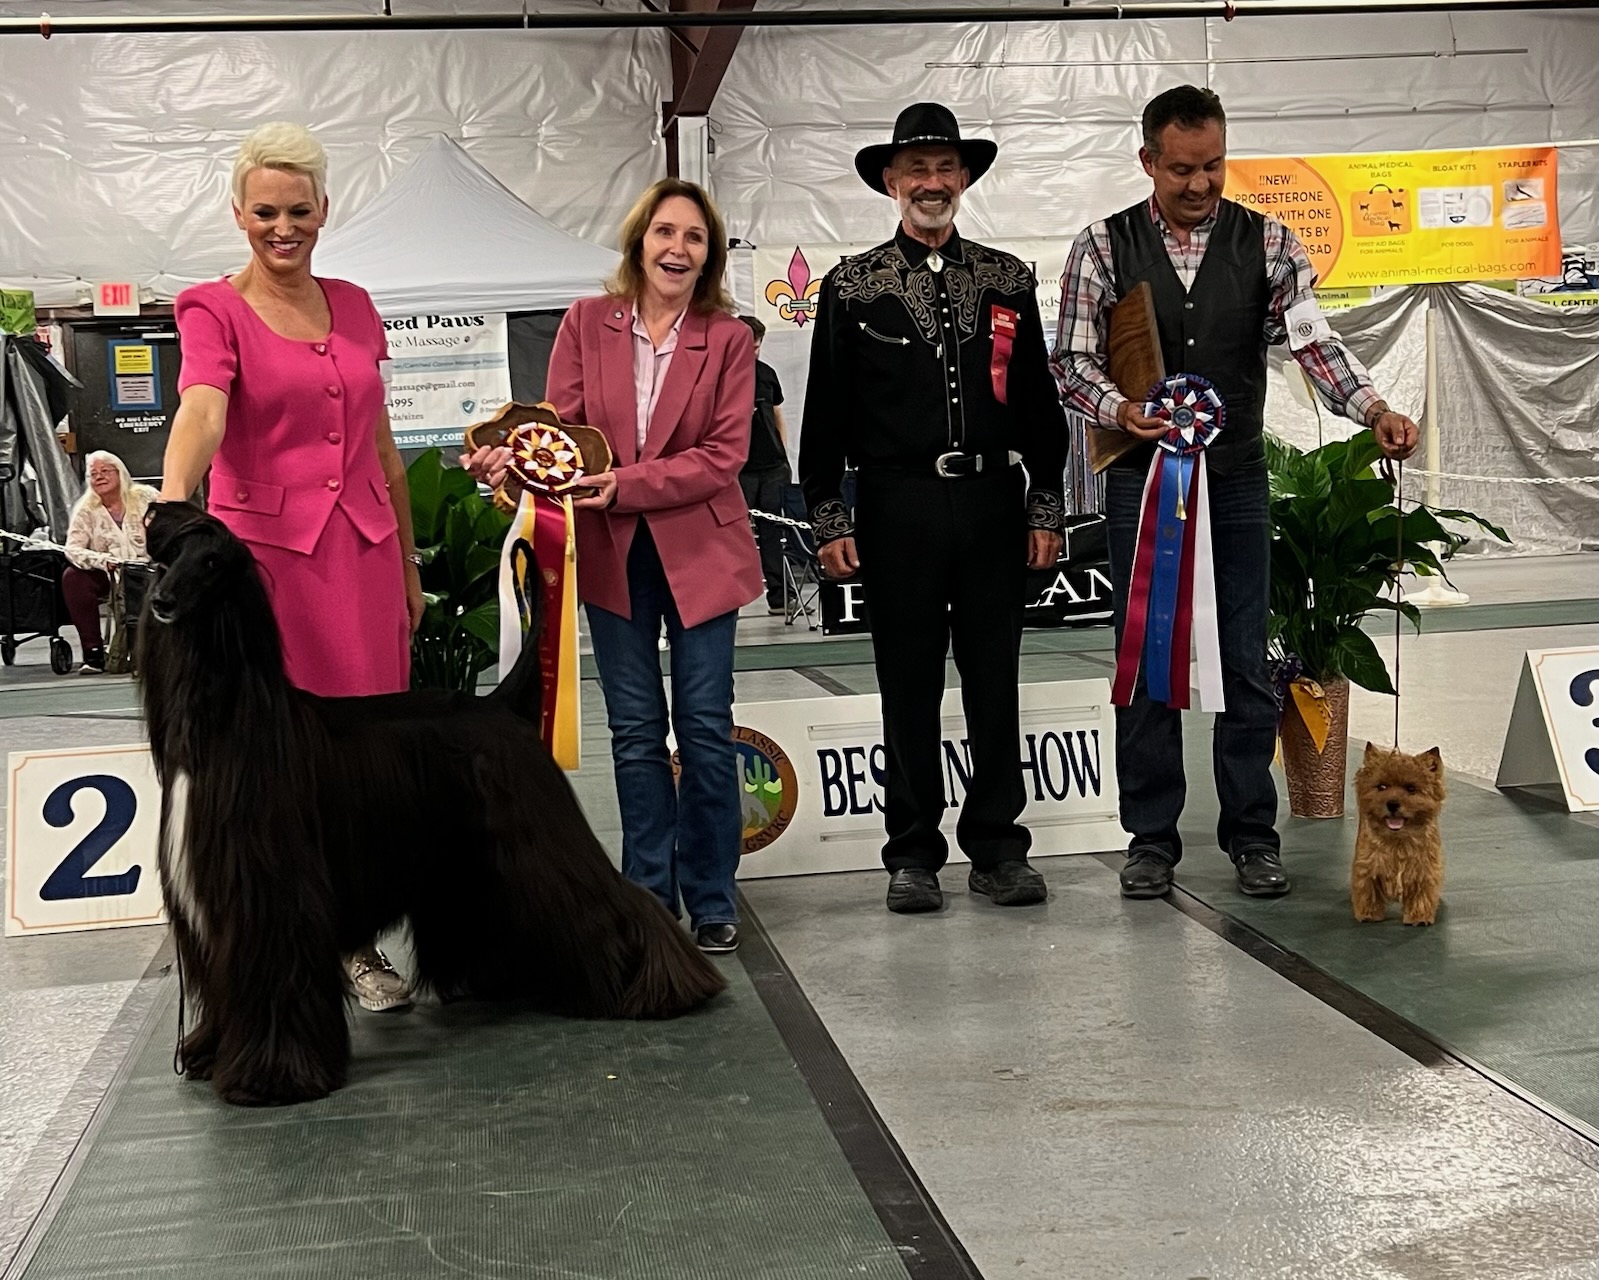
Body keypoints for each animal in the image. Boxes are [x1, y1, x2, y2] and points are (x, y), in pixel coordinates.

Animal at [137, 503, 725, 1107]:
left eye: (211, 563)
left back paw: (664, 986)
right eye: (168, 559)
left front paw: (271, 1075)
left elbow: (275, 981)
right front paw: (210, 1053)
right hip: (470, 862)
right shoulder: (216, 906)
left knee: (611, 899)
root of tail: (499, 706)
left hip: (537, 835)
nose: (162, 600)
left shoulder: (271, 898)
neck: (227, 723)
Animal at [1350, 742, 1446, 926]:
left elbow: (1422, 896)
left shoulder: (1425, 870)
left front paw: (1419, 917)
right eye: (1381, 787)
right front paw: (1369, 914)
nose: (1392, 804)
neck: (1398, 840)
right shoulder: (1367, 867)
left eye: (1411, 789)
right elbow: (1368, 892)